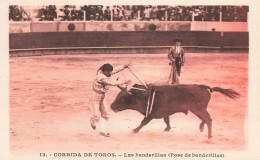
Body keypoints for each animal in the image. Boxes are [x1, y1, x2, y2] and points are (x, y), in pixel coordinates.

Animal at [110, 84, 240, 139]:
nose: (111, 106)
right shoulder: (164, 112)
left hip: (198, 109)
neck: (144, 95)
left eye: (122, 97)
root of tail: (204, 87)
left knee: (208, 119)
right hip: (200, 109)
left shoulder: (150, 114)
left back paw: (209, 136)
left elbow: (143, 122)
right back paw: (202, 128)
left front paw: (134, 130)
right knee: (206, 118)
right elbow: (167, 120)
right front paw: (167, 128)